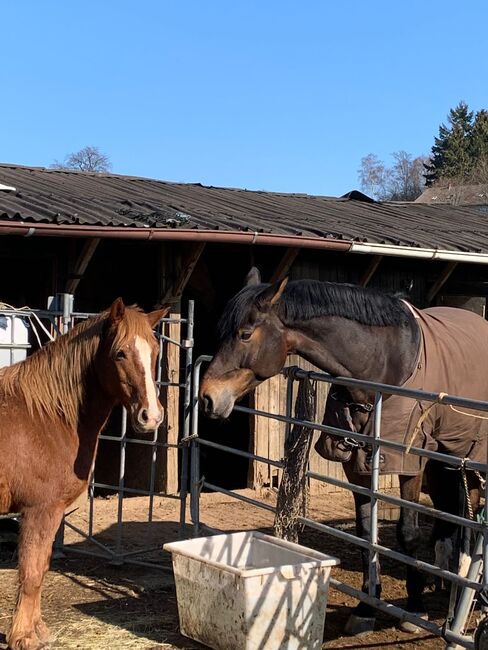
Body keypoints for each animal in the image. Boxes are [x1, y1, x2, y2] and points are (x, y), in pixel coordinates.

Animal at [0, 298, 168, 648]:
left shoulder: (51, 514)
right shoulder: (39, 511)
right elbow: (31, 572)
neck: (47, 415)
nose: (151, 417)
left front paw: (38, 630)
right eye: (120, 353)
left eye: (156, 351)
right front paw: (22, 637)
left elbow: (42, 567)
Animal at [200, 268, 486, 632]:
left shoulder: (410, 463)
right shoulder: (355, 465)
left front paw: (415, 609)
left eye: (245, 334)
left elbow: (407, 534)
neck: (385, 365)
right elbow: (365, 535)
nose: (208, 398)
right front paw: (365, 608)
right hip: (446, 459)